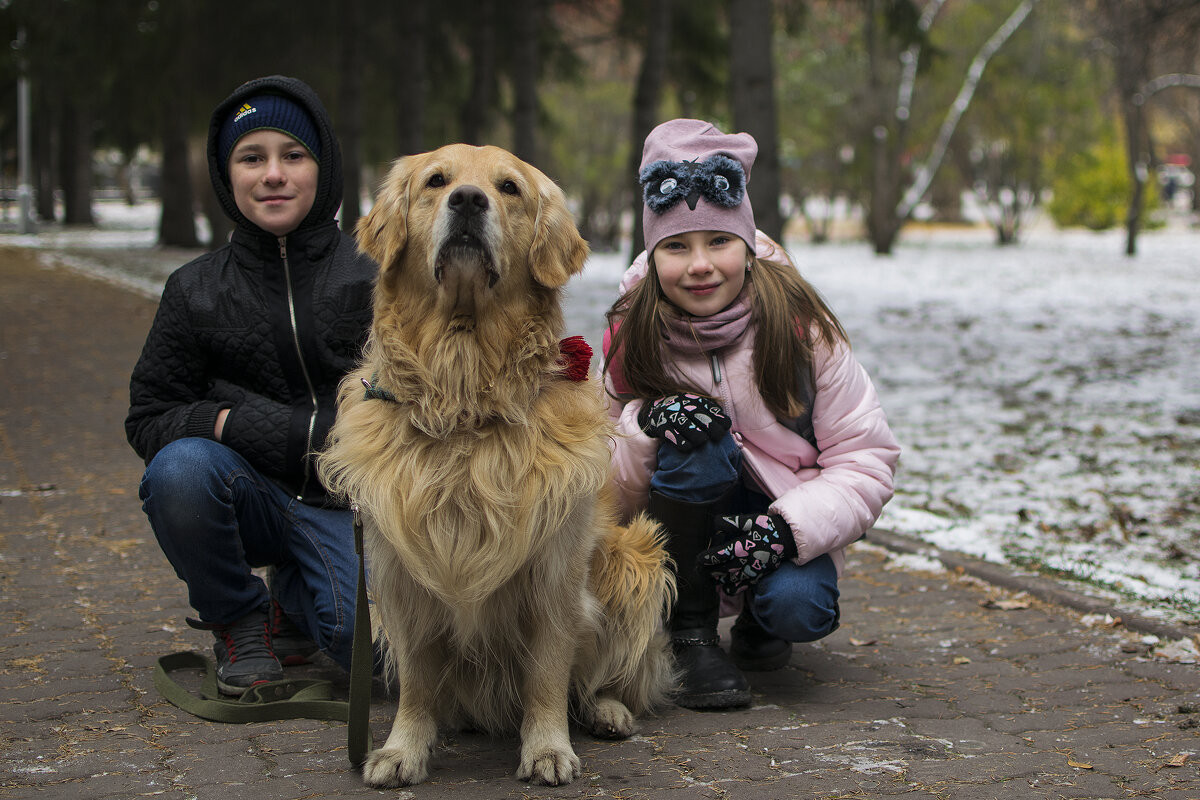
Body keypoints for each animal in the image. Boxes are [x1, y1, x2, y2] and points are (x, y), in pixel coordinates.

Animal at [316, 143, 676, 786]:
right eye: (437, 181)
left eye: (509, 188)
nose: (467, 200)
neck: (464, 397)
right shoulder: (400, 572)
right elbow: (416, 680)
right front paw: (404, 748)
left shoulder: (555, 573)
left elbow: (548, 674)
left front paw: (548, 747)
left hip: (635, 558)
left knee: (604, 678)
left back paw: (608, 710)